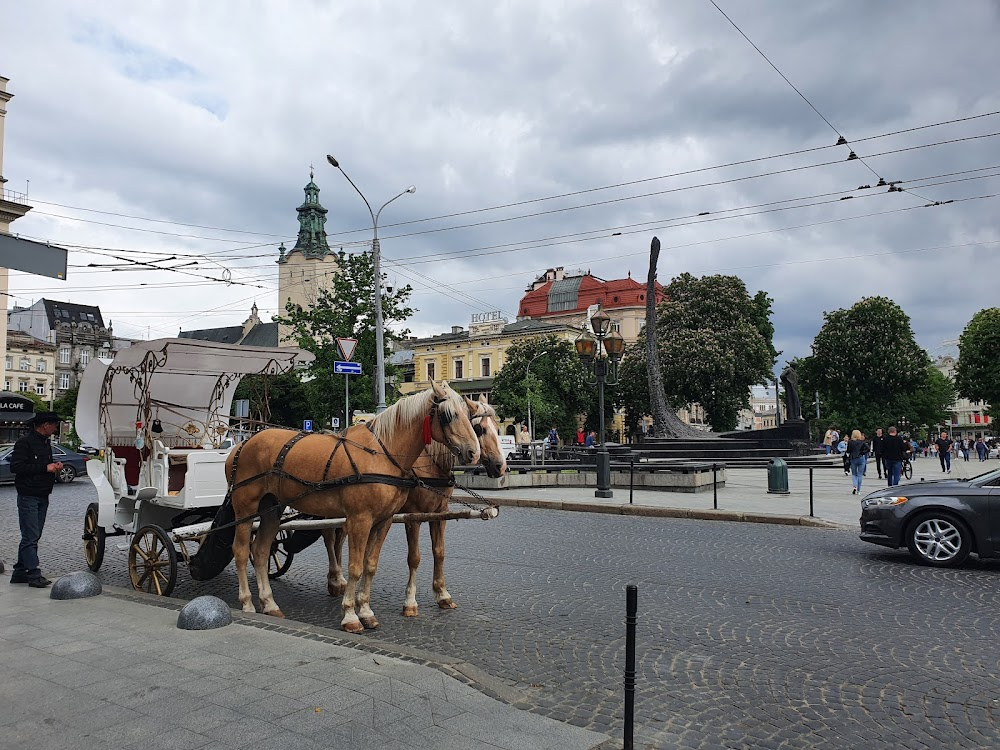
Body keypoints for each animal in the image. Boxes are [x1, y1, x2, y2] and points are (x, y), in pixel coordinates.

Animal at [229, 382, 478, 636]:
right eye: (448, 415)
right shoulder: (360, 520)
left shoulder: (384, 520)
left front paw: (366, 611)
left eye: (469, 414)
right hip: (245, 508)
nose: (473, 452)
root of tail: (242, 444)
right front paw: (350, 615)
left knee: (260, 550)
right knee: (241, 551)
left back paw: (269, 604)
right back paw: (247, 602)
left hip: (271, 509)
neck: (382, 453)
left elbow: (370, 565)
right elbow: (355, 567)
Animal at [324, 394, 504, 616]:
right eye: (480, 429)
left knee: (340, 537)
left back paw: (340, 580)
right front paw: (410, 601)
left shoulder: (440, 513)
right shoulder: (413, 517)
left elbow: (439, 552)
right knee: (329, 537)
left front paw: (442, 594)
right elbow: (414, 557)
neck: (431, 464)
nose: (501, 466)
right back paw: (335, 579)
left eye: (497, 427)